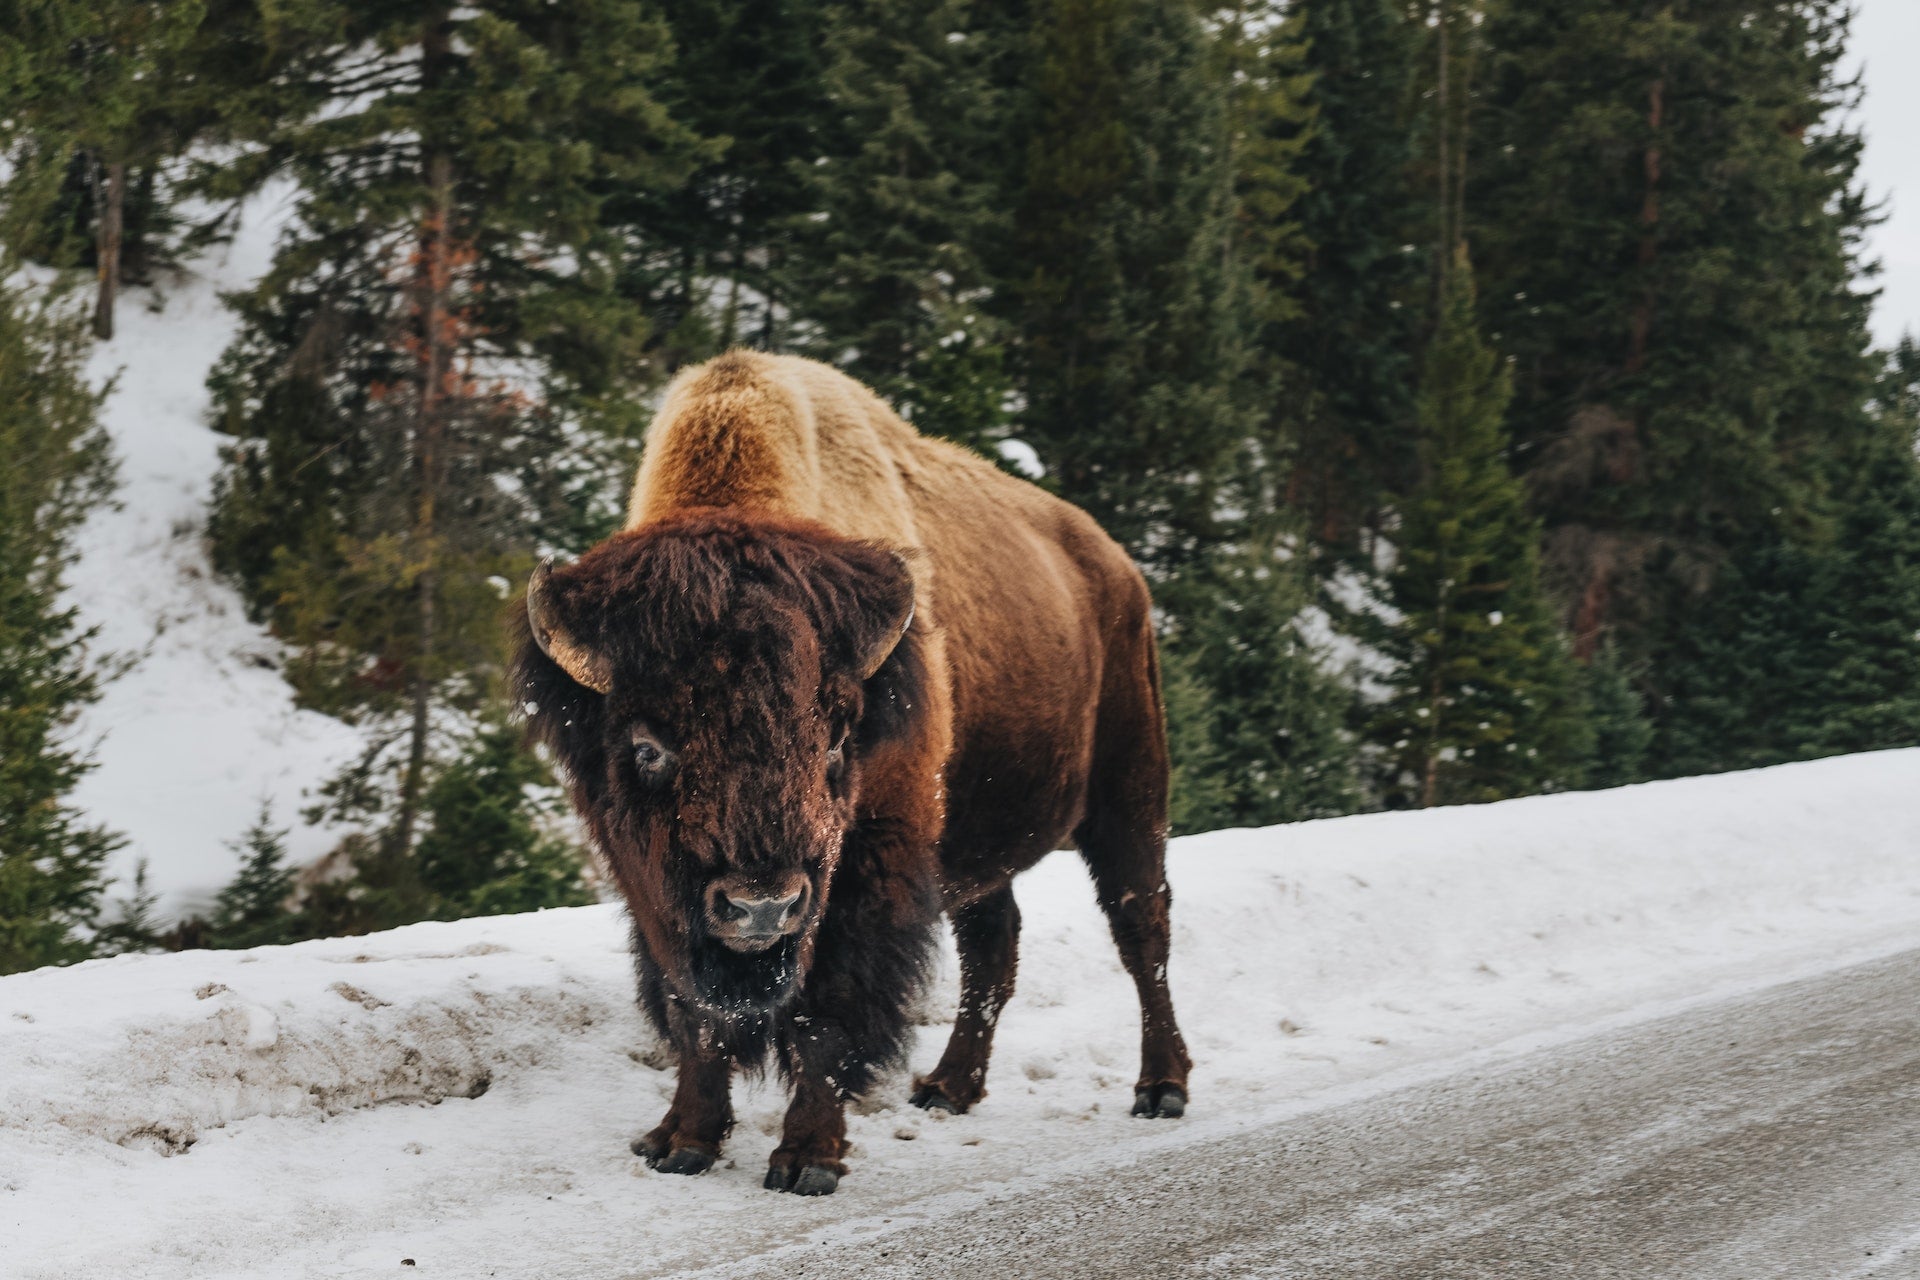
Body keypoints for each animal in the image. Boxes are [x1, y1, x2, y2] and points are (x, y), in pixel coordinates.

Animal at [518, 347, 1190, 1189]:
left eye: (838, 742)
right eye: (648, 748)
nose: (763, 906)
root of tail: (1116, 567)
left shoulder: (863, 877)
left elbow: (828, 1015)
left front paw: (807, 1158)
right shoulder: (659, 899)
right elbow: (696, 1016)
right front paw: (680, 1142)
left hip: (1128, 792)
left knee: (1141, 927)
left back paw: (1161, 1088)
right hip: (979, 841)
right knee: (994, 944)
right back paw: (948, 1088)